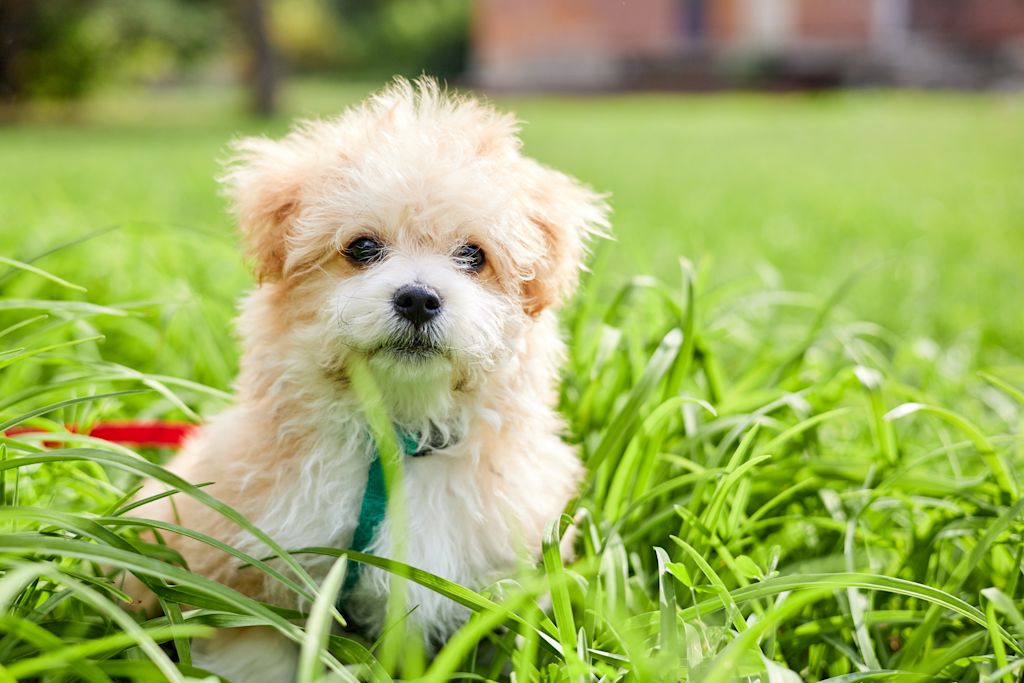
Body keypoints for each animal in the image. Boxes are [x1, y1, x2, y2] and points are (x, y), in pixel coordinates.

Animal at [128, 77, 606, 679]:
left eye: (473, 255)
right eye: (362, 248)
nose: (418, 298)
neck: (397, 435)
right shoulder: (255, 569)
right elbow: (261, 649)